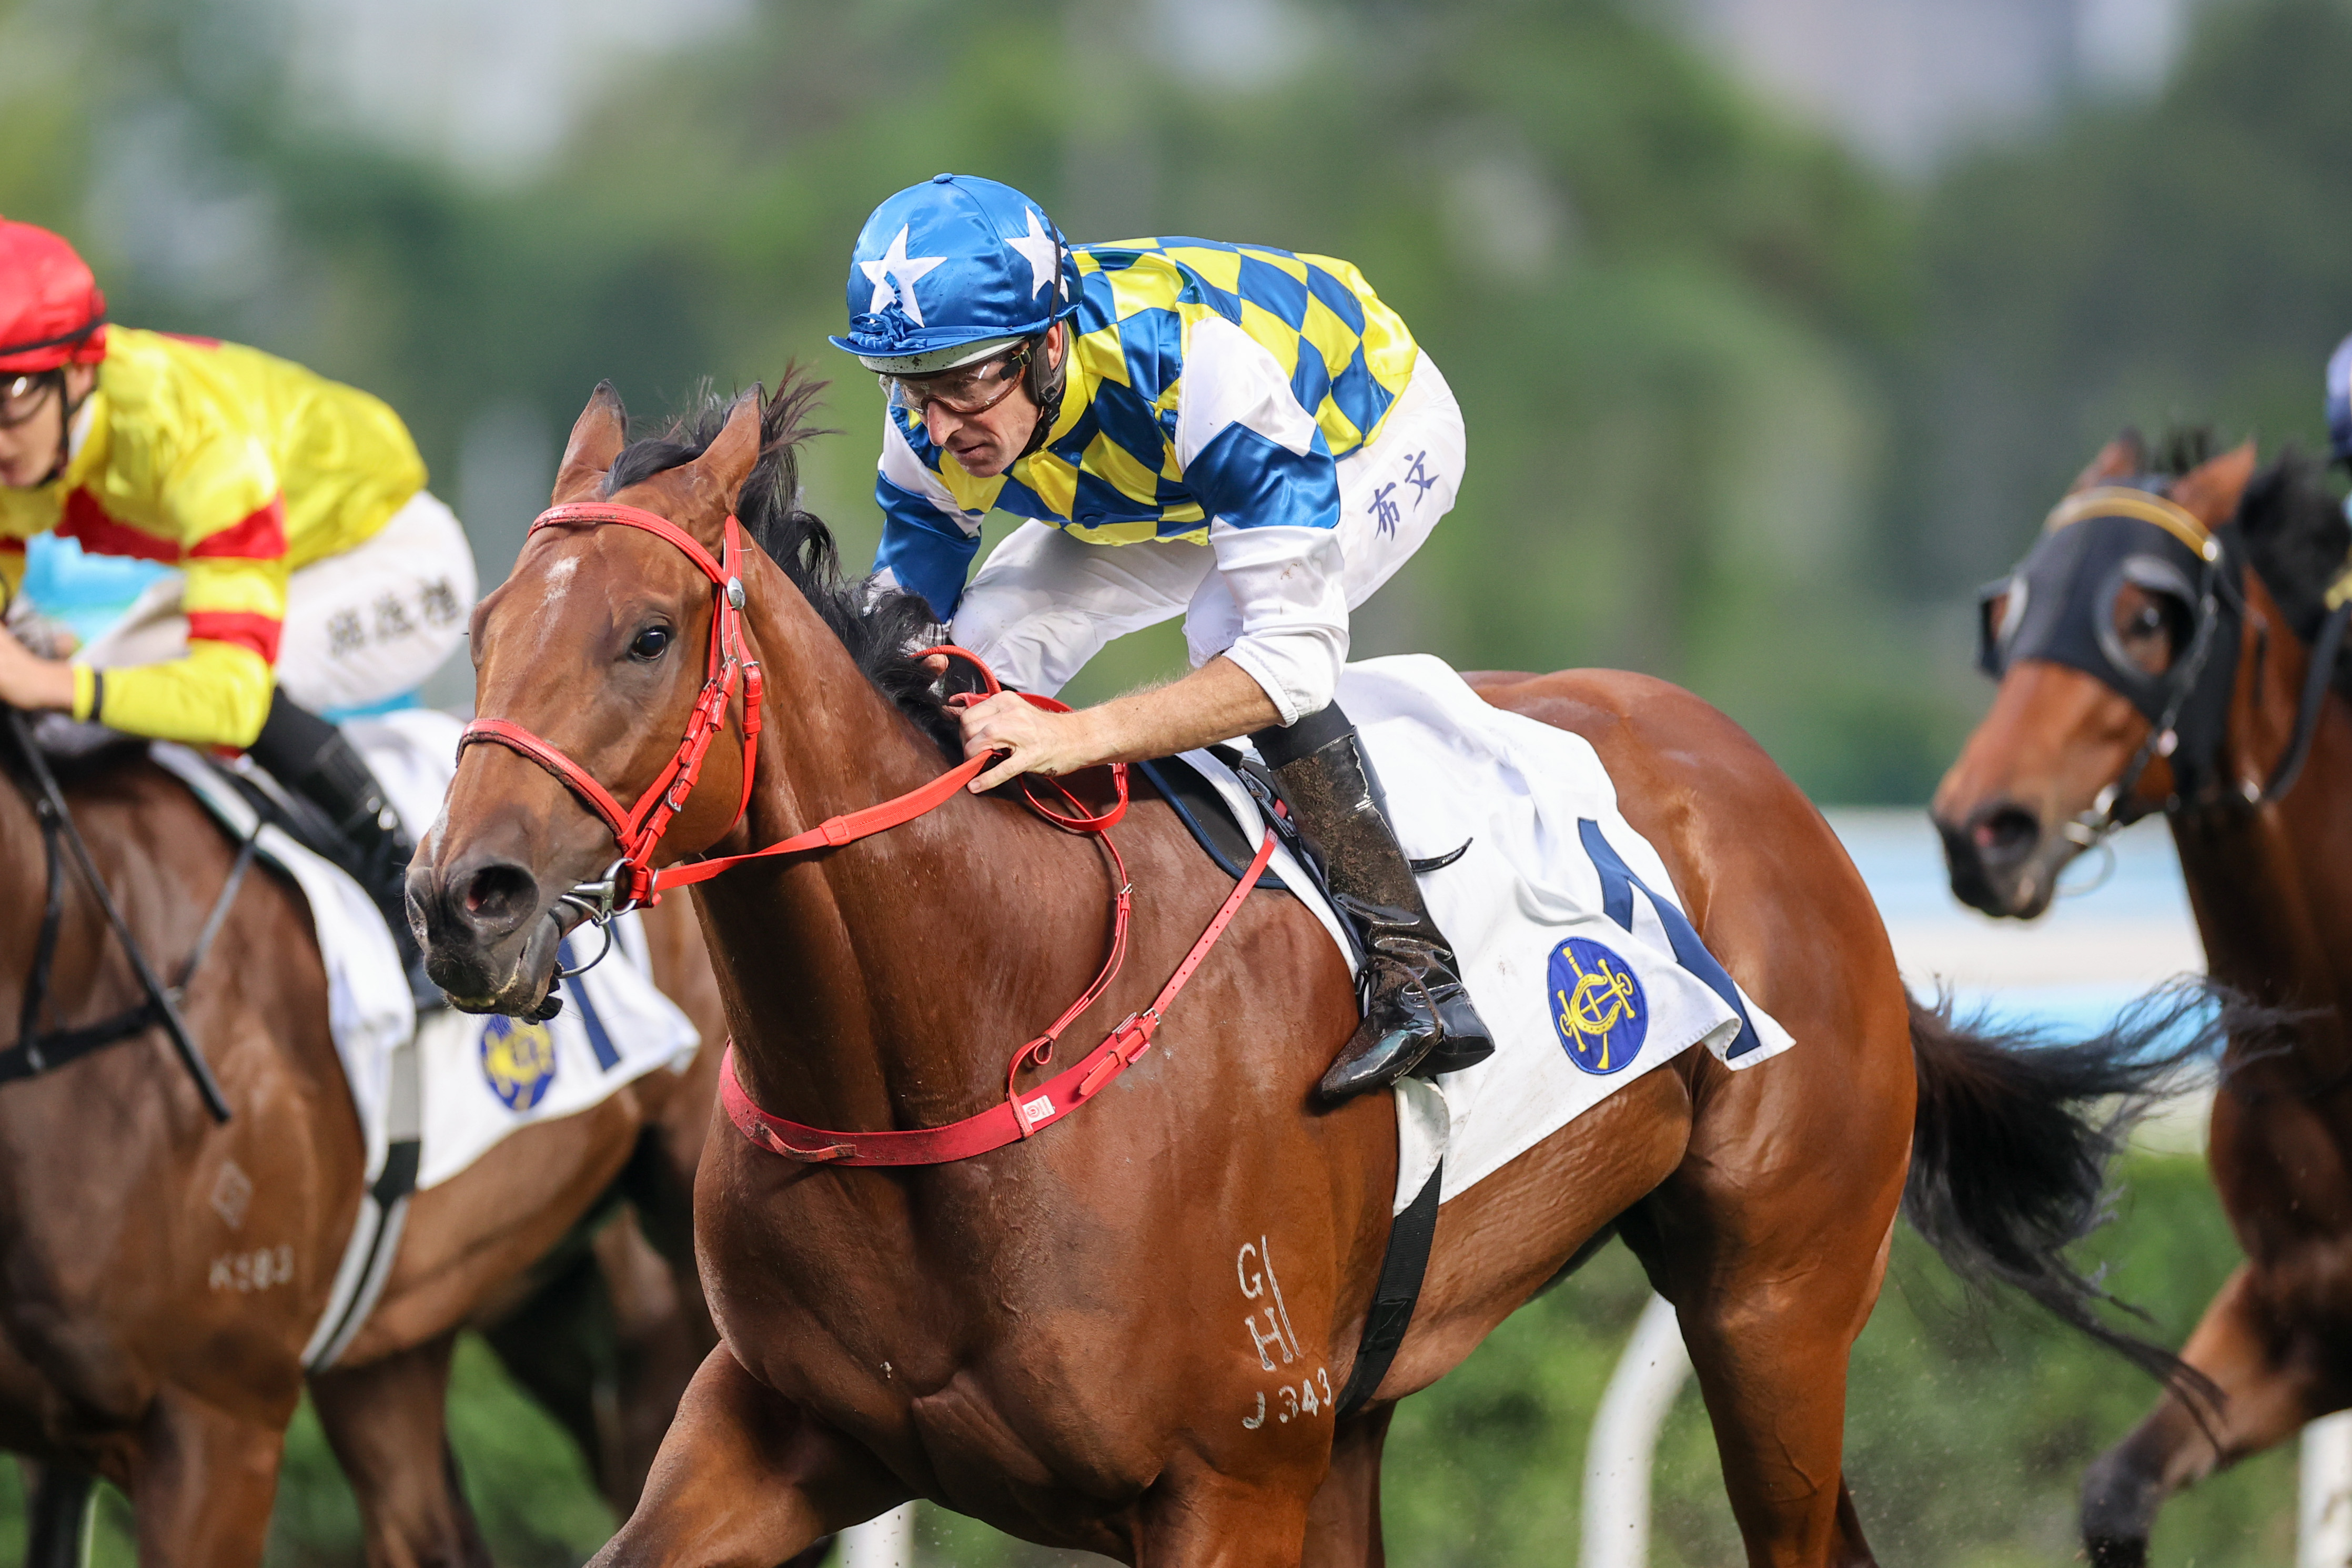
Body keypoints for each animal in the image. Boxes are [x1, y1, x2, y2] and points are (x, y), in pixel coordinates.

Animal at [417, 375, 2222, 1568]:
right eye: (485, 625)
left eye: (647, 634)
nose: (462, 902)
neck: (966, 1036)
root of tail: (1779, 801)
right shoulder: (776, 1431)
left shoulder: (1223, 1480)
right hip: (1371, 1407)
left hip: (1770, 1295)